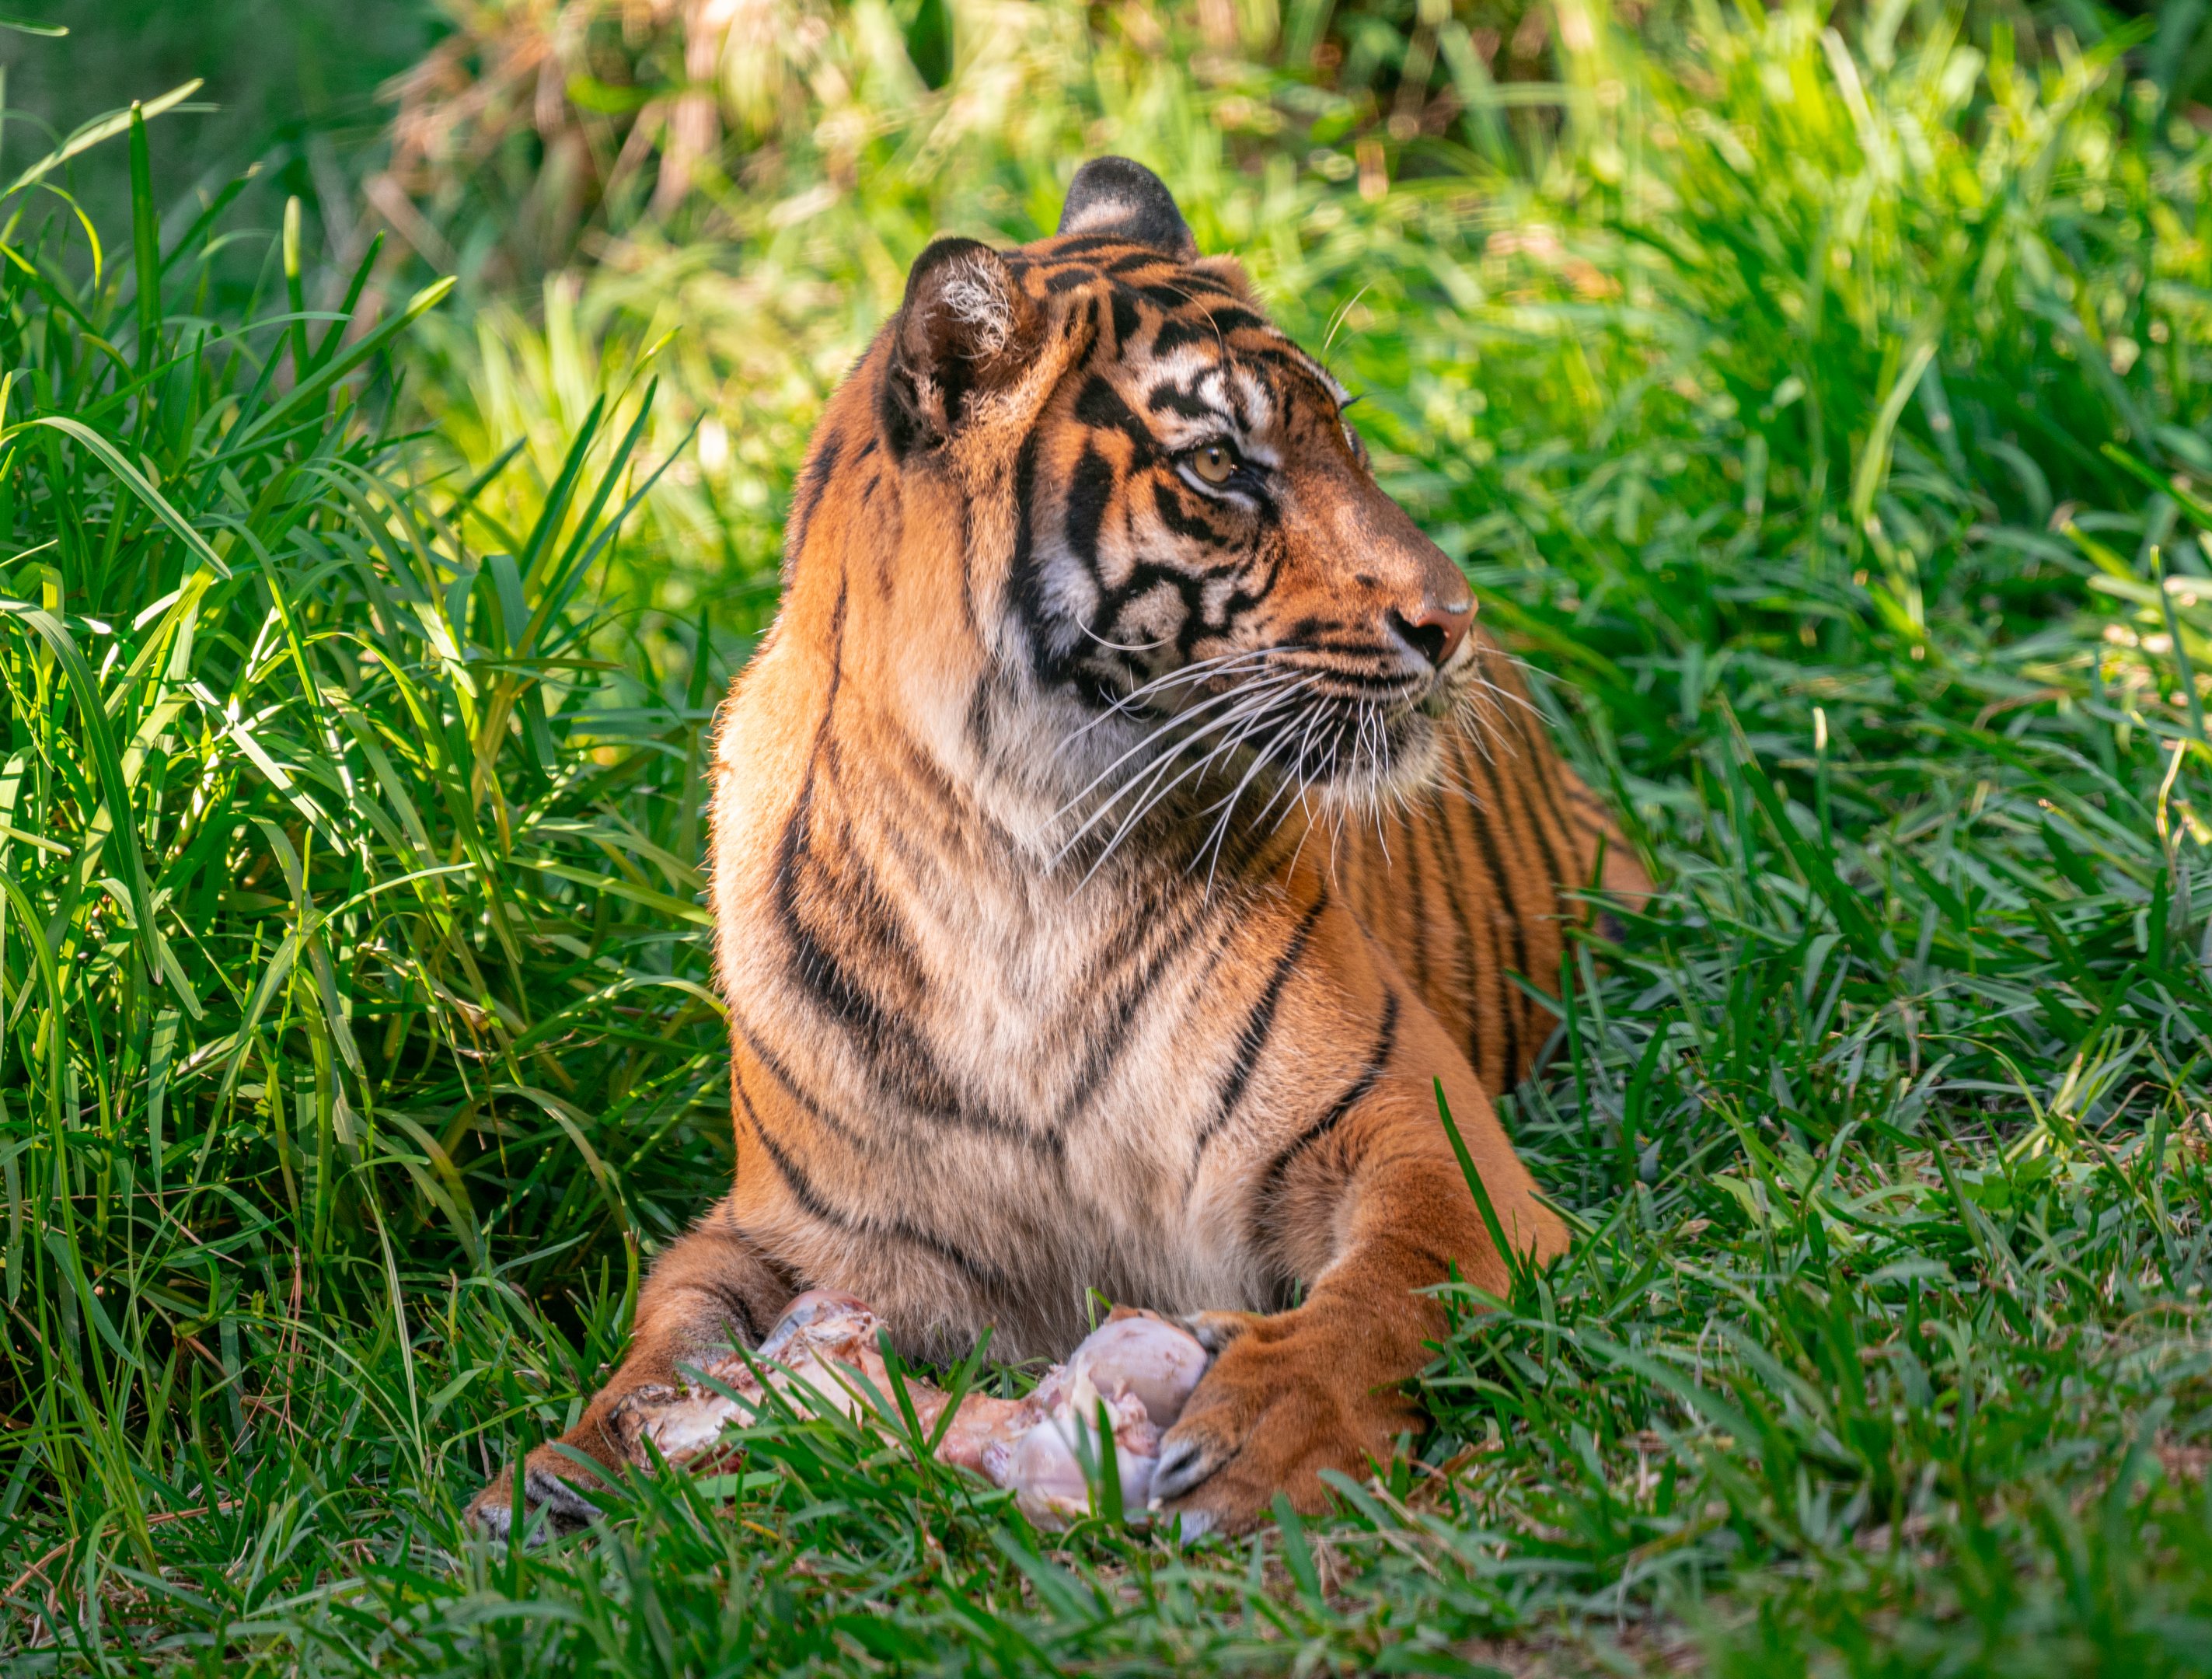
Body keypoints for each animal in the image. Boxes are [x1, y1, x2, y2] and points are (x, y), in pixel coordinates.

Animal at [467, 156, 1648, 1540]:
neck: (1015, 864)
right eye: (1219, 462)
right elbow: (668, 1332)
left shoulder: (1421, 1136)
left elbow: (1389, 1289)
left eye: (1342, 435)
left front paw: (1265, 1431)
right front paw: (559, 1474)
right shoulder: (783, 1227)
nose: (1452, 620)